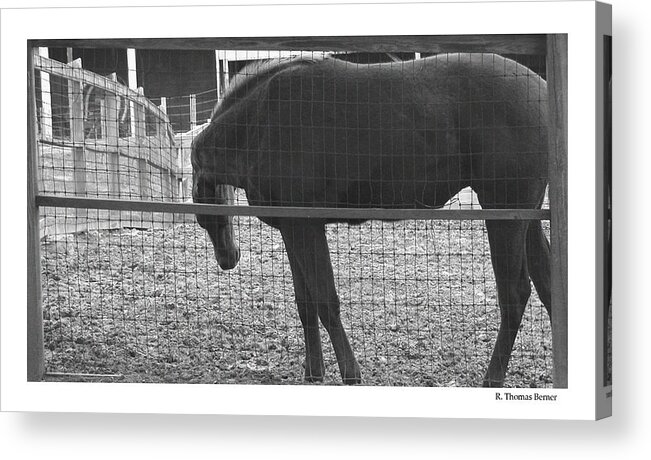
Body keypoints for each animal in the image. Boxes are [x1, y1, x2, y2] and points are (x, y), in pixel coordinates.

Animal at [191, 53, 552, 388]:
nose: (228, 258)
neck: (259, 122)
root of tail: (541, 89)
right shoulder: (293, 228)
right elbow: (305, 303)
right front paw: (314, 372)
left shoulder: (306, 227)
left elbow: (326, 301)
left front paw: (350, 373)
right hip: (526, 219)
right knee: (547, 285)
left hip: (505, 216)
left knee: (515, 295)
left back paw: (492, 378)